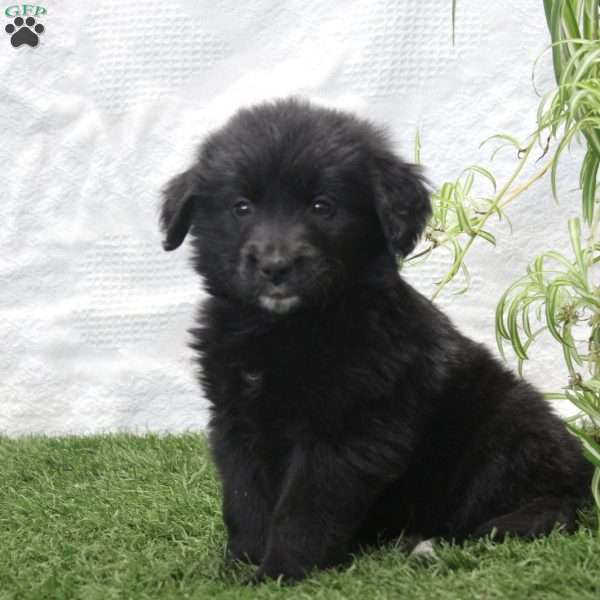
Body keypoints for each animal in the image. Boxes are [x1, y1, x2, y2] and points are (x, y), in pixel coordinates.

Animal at [158, 97, 592, 580]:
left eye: (322, 206)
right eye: (241, 207)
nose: (276, 266)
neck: (285, 330)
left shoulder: (348, 429)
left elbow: (305, 506)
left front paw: (280, 572)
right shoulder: (235, 420)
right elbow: (245, 498)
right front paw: (239, 566)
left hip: (508, 429)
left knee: (541, 505)